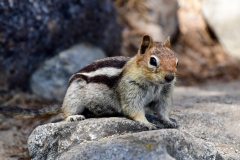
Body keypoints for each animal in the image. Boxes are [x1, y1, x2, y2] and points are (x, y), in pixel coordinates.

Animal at [0, 34, 178, 129]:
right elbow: (133, 109)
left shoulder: (164, 95)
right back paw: (73, 117)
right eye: (153, 61)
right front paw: (147, 123)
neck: (155, 85)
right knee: (64, 113)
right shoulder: (130, 90)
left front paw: (169, 121)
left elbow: (163, 110)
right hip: (74, 96)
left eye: (176, 61)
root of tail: (63, 100)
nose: (170, 77)